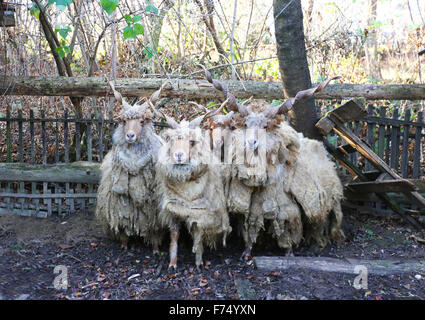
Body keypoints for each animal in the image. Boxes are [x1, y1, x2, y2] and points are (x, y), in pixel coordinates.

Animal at [95, 80, 166, 252]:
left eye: (142, 121)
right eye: (124, 121)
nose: (130, 136)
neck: (134, 165)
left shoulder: (154, 213)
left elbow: (155, 232)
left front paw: (155, 249)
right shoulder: (120, 209)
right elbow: (123, 230)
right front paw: (124, 245)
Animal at [154, 104, 230, 268]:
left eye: (192, 141)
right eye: (171, 140)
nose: (178, 155)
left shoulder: (201, 213)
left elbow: (198, 235)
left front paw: (199, 262)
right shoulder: (172, 210)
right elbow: (174, 235)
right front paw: (172, 263)